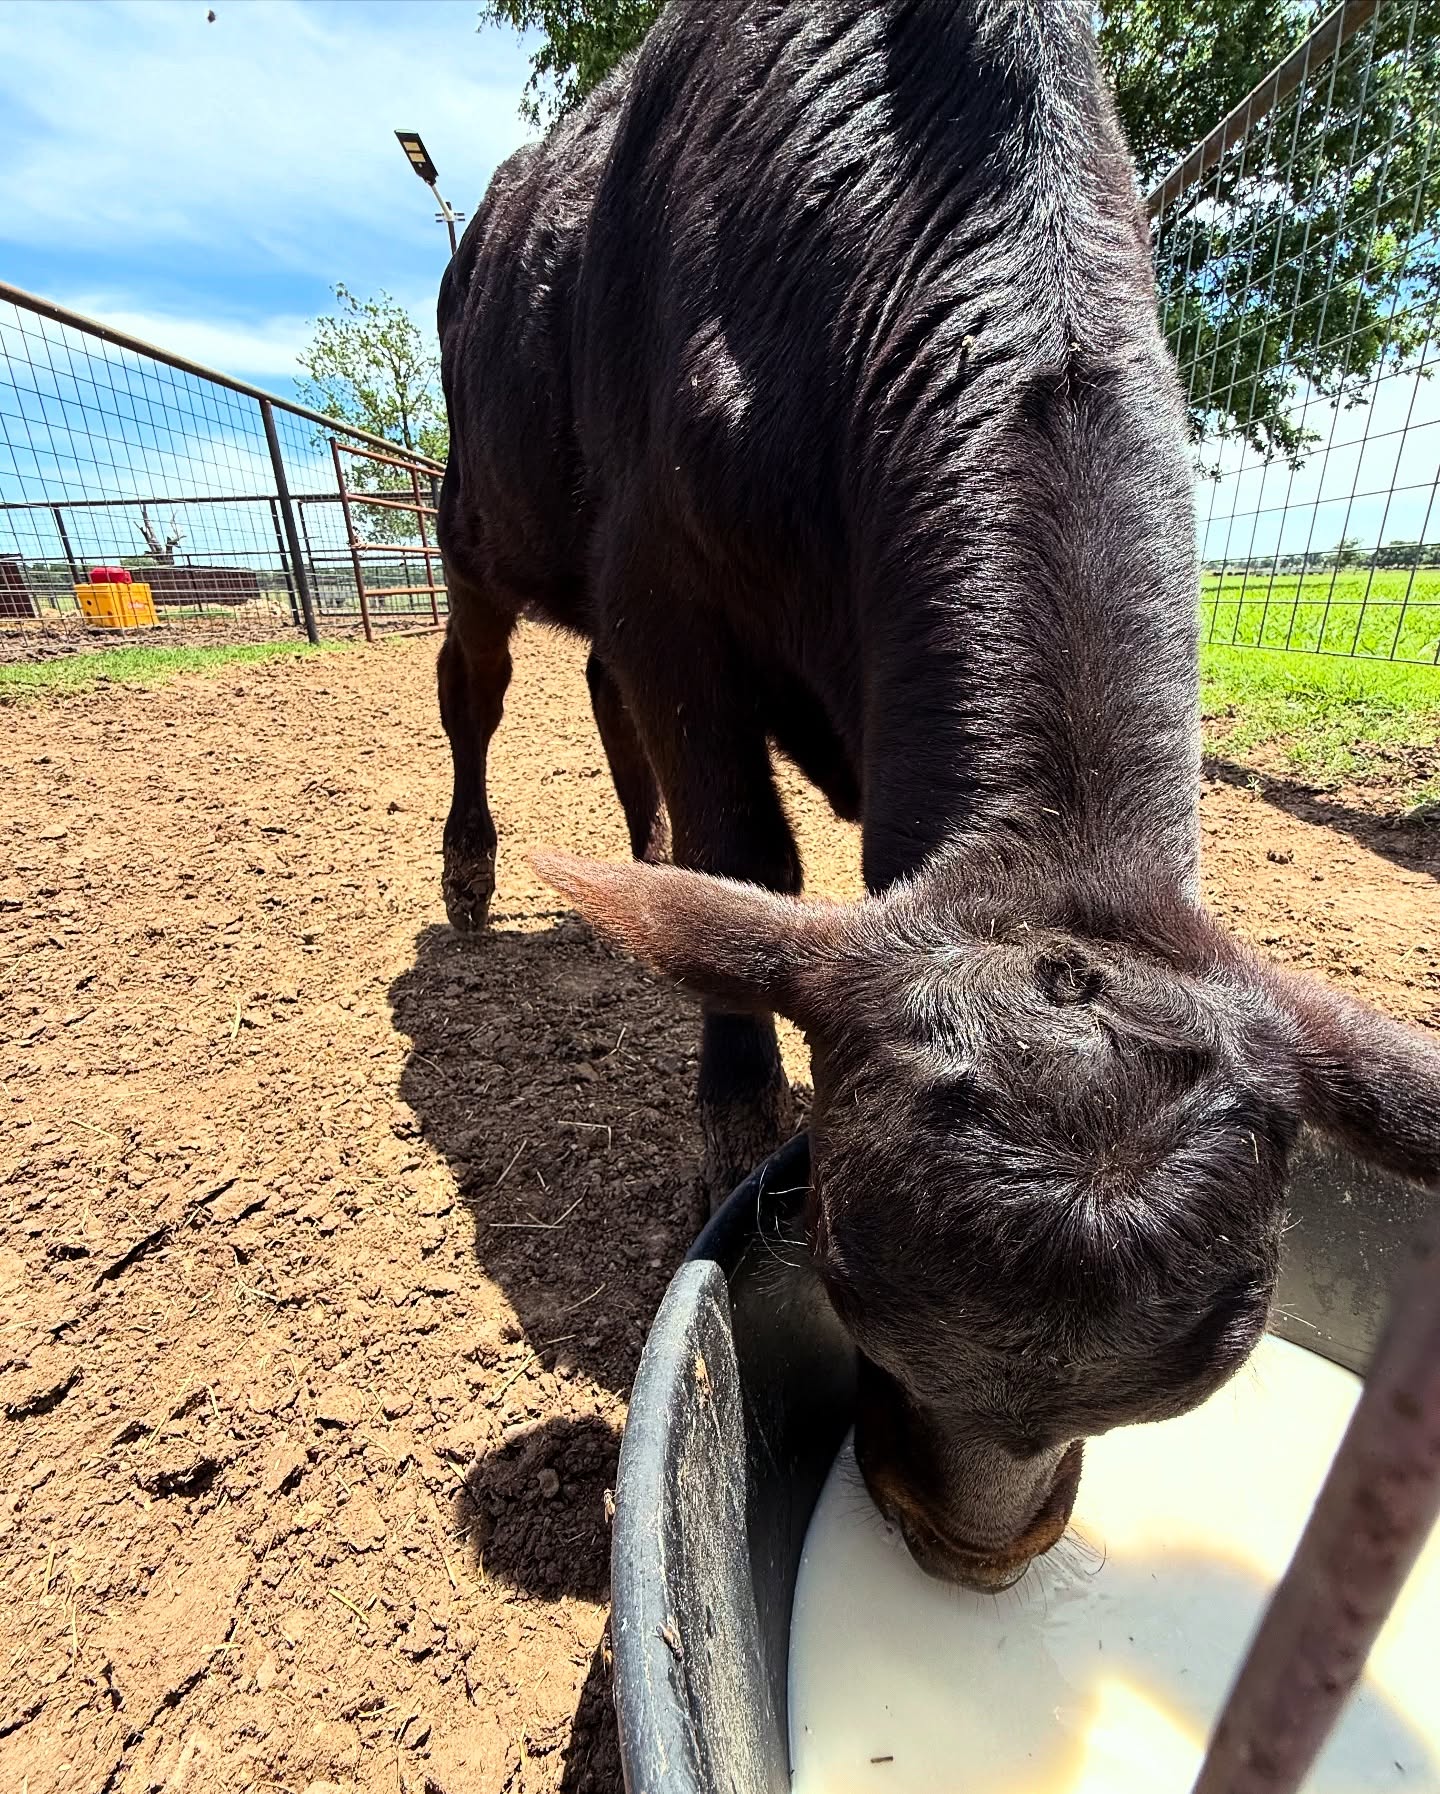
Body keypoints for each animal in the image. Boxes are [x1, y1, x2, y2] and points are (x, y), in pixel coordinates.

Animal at [435, 0, 1440, 1591]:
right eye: (838, 1264)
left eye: (1221, 1357)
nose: (970, 1544)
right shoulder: (660, 576)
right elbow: (748, 856)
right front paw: (732, 1121)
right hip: (477, 513)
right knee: (473, 685)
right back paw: (470, 872)